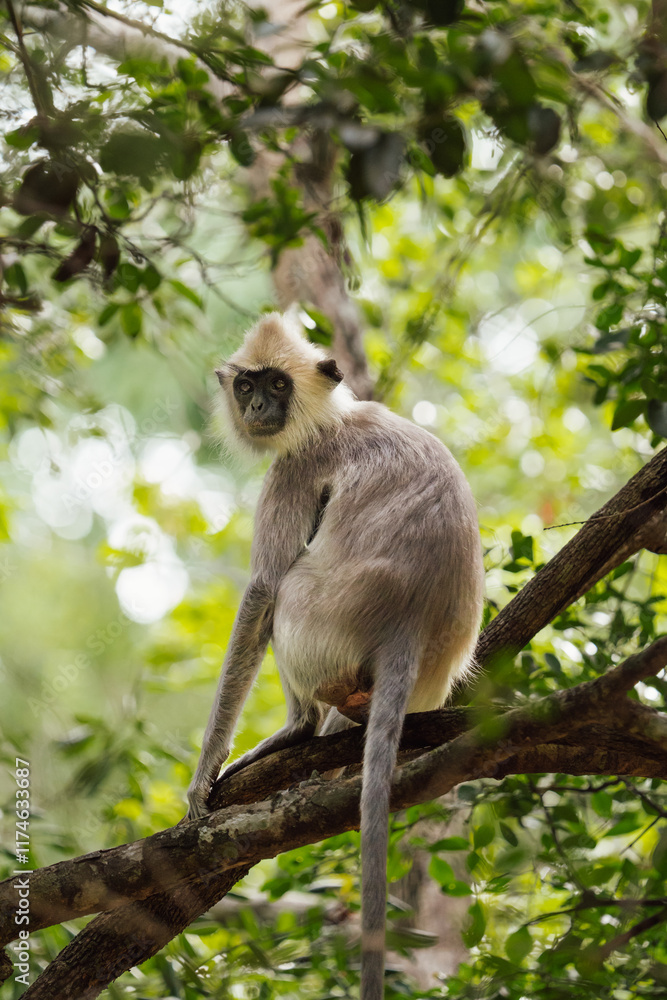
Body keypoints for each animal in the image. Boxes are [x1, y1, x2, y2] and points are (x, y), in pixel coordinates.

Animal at [187, 312, 484, 1000]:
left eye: (276, 383)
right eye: (246, 386)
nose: (259, 407)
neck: (331, 416)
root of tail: (408, 624)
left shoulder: (297, 465)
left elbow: (262, 589)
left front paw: (203, 775)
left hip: (320, 622)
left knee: (288, 588)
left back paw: (297, 731)